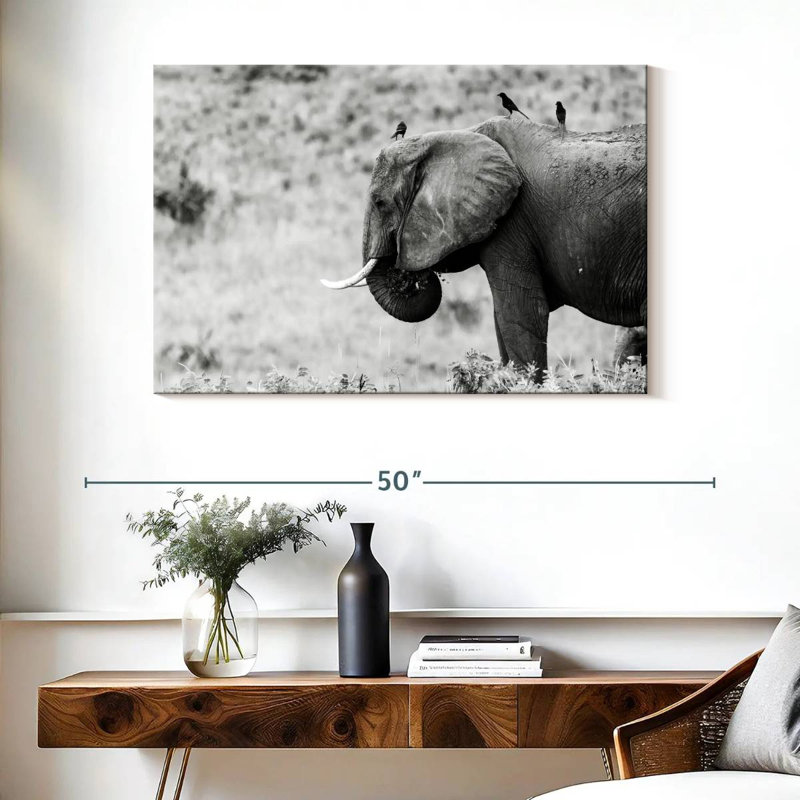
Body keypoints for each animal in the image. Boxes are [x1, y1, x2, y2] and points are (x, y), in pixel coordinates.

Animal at [321, 115, 646, 379]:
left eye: (379, 202)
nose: (407, 274)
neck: (456, 136)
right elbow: (501, 318)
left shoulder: (512, 224)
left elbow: (520, 312)